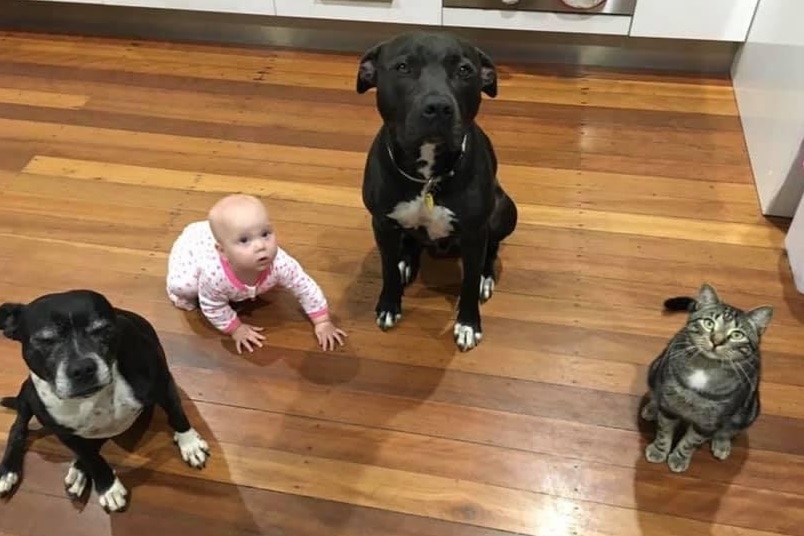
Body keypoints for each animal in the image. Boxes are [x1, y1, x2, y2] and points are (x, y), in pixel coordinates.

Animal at [0, 292, 210, 512]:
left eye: (103, 330)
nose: (82, 368)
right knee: (18, 428)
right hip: (28, 394)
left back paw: (79, 470)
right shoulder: (64, 433)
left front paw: (190, 444)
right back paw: (9, 471)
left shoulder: (162, 382)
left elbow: (177, 413)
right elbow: (92, 459)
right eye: (45, 340)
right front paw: (108, 487)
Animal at [356, 32, 516, 352]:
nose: (439, 106)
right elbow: (387, 268)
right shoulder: (381, 224)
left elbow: (468, 283)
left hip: (505, 210)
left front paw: (468, 324)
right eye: (403, 67)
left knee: (491, 248)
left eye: (464, 70)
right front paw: (389, 304)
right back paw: (406, 260)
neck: (427, 176)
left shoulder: (475, 232)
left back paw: (486, 276)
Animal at [640, 282, 772, 472]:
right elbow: (664, 430)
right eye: (709, 323)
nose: (716, 340)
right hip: (655, 369)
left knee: (729, 430)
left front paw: (679, 458)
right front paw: (659, 450)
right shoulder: (670, 406)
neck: (705, 367)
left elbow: (690, 442)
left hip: (750, 412)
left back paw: (722, 444)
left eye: (737, 334)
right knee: (655, 393)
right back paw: (651, 408)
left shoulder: (709, 423)